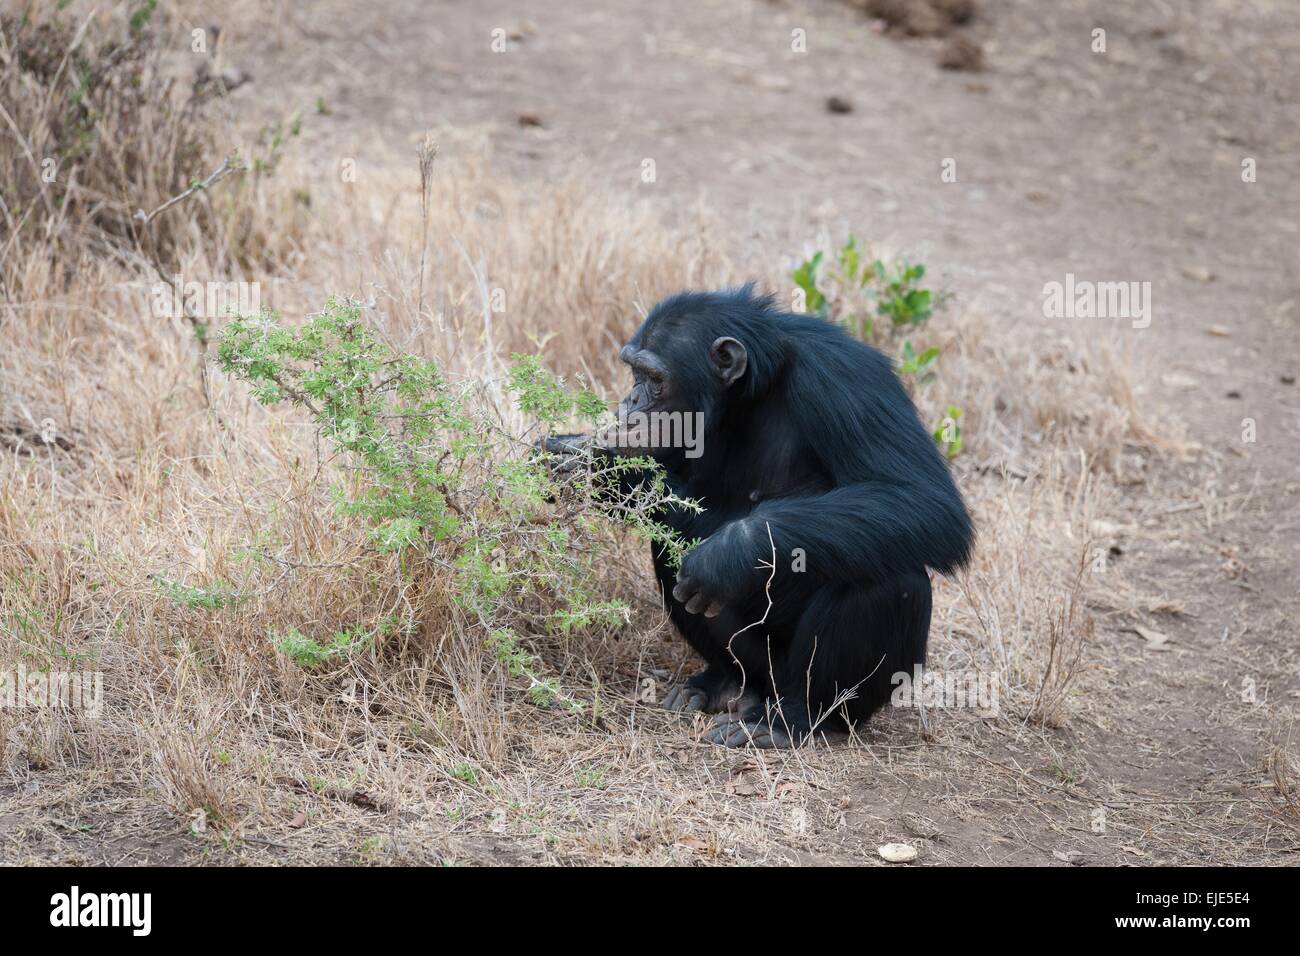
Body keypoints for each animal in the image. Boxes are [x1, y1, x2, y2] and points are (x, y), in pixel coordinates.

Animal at [543, 283, 972, 749]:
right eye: (633, 372)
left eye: (653, 378)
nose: (630, 400)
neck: (751, 393)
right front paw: (580, 459)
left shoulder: (843, 376)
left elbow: (921, 498)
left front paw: (725, 554)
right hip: (759, 666)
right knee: (669, 550)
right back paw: (722, 682)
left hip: (812, 684)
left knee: (891, 578)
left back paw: (794, 720)